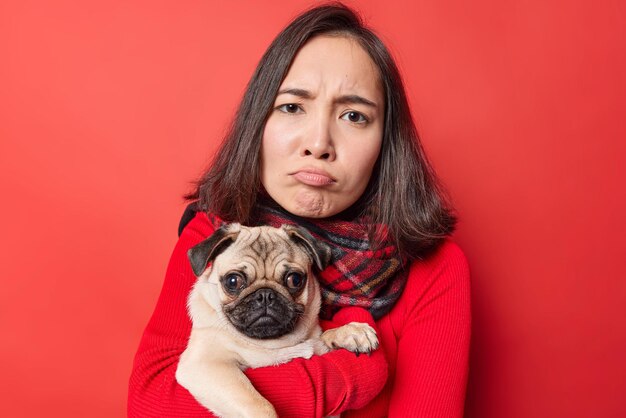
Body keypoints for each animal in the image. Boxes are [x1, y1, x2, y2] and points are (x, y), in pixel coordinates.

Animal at [177, 222, 380, 418]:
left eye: (295, 279)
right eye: (233, 281)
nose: (265, 295)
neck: (275, 343)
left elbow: (324, 336)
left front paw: (352, 332)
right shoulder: (205, 364)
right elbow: (261, 405)